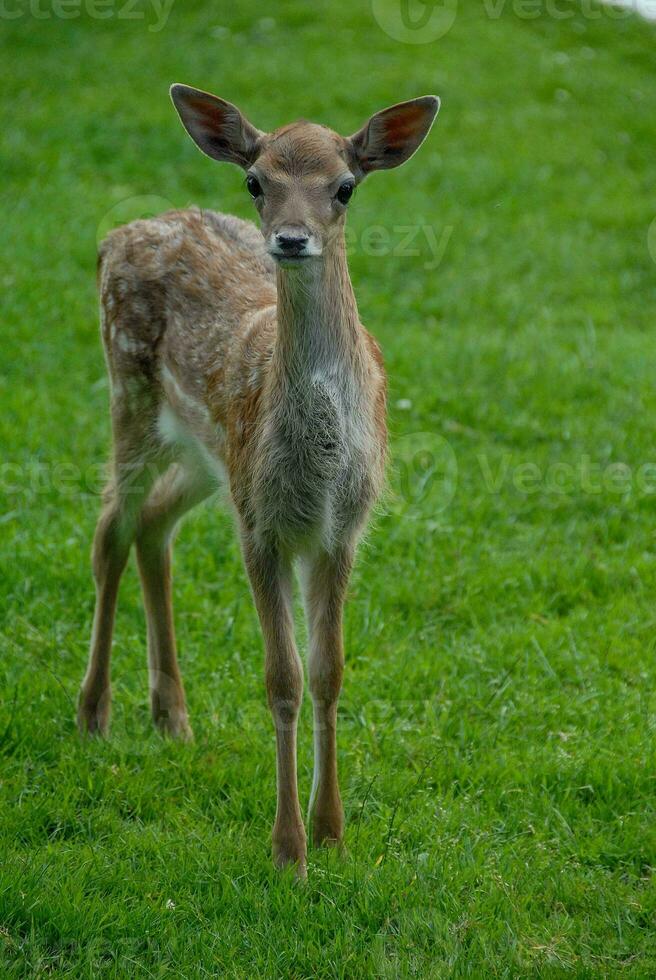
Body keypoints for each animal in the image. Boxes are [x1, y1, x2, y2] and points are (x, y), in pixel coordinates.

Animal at [77, 84, 438, 876]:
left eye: (345, 186)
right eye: (255, 182)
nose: (293, 239)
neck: (320, 461)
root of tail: (118, 234)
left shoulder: (341, 528)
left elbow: (330, 671)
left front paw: (332, 832)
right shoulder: (263, 527)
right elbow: (284, 679)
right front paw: (288, 850)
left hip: (207, 455)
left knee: (153, 525)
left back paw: (173, 717)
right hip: (130, 391)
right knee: (110, 526)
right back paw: (93, 712)